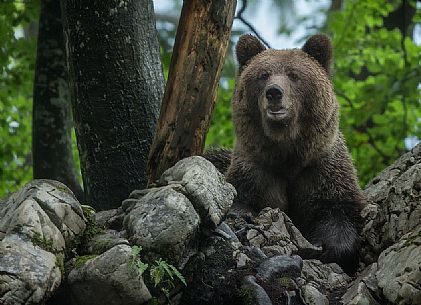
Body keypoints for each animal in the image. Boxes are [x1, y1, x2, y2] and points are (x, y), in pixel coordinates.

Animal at [207, 33, 364, 274]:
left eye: (294, 75)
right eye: (263, 75)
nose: (274, 92)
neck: (287, 151)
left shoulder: (320, 168)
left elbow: (338, 210)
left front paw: (328, 247)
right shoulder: (257, 168)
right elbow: (241, 197)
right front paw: (244, 217)